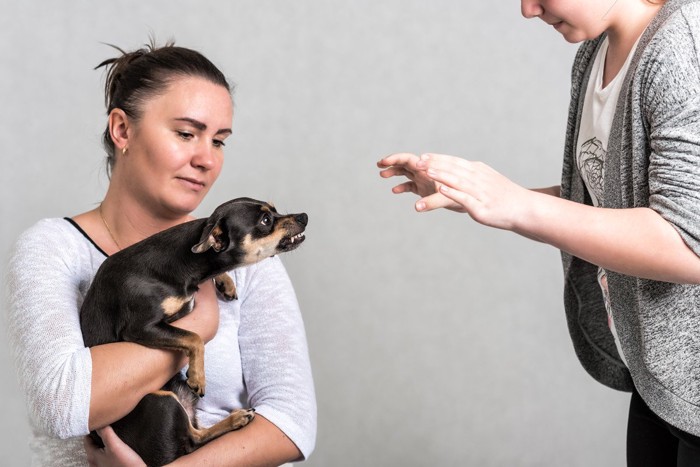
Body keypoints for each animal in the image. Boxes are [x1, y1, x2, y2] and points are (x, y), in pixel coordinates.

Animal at [80, 198, 308, 467]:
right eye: (265, 221)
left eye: (274, 210)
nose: (304, 216)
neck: (185, 263)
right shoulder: (141, 327)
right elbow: (194, 337)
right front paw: (198, 376)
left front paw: (225, 281)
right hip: (160, 399)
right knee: (193, 441)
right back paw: (235, 419)